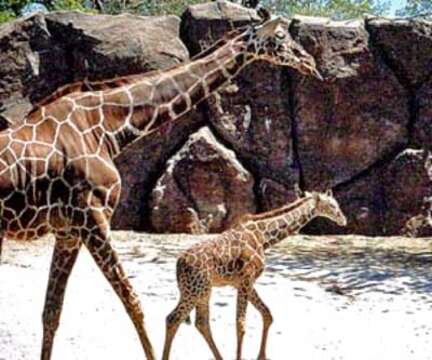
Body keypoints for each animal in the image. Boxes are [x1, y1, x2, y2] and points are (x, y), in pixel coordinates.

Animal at [0, 10, 320, 360]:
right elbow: (133, 302)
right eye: (280, 37)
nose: (311, 63)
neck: (106, 126)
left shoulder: (68, 230)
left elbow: (51, 312)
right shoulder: (92, 218)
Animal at [162, 190, 348, 358]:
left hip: (202, 291)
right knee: (173, 319)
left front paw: (262, 356)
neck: (264, 238)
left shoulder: (244, 282)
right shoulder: (246, 279)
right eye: (332, 205)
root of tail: (179, 264)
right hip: (195, 290)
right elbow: (241, 324)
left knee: (201, 323)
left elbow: (267, 314)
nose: (343, 219)